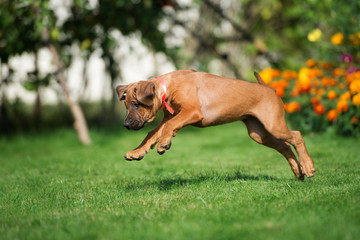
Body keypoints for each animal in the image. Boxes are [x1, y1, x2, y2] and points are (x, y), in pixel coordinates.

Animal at [116, 69, 316, 180]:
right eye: (126, 105)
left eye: (136, 104)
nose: (125, 125)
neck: (169, 87)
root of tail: (270, 89)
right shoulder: (168, 116)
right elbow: (153, 133)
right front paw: (138, 152)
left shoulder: (192, 111)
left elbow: (170, 125)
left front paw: (164, 142)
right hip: (259, 133)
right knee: (284, 146)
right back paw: (298, 171)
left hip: (273, 124)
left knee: (296, 136)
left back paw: (308, 167)